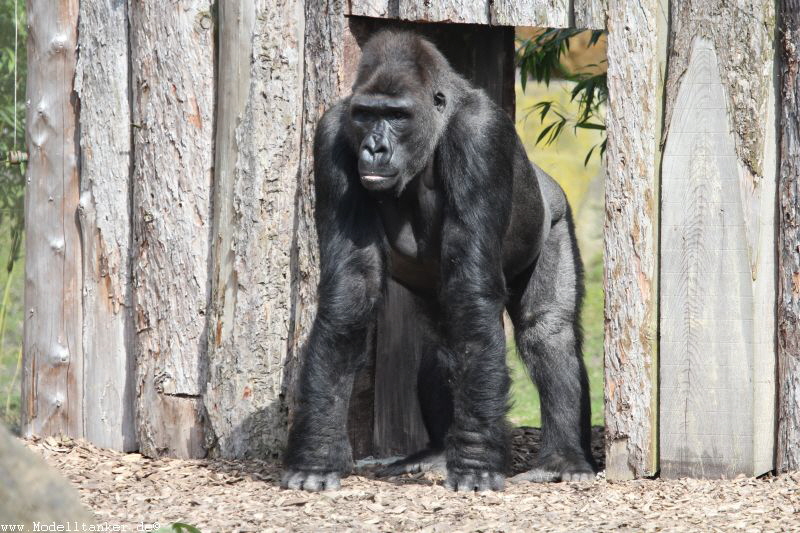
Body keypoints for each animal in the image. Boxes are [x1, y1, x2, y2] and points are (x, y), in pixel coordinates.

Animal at [282, 31, 592, 492]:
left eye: (397, 115)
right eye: (365, 115)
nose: (374, 148)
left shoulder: (481, 136)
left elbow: (475, 293)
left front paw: (477, 461)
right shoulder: (331, 135)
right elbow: (351, 288)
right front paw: (317, 454)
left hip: (555, 214)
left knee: (546, 332)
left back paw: (563, 458)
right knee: (442, 341)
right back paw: (438, 452)